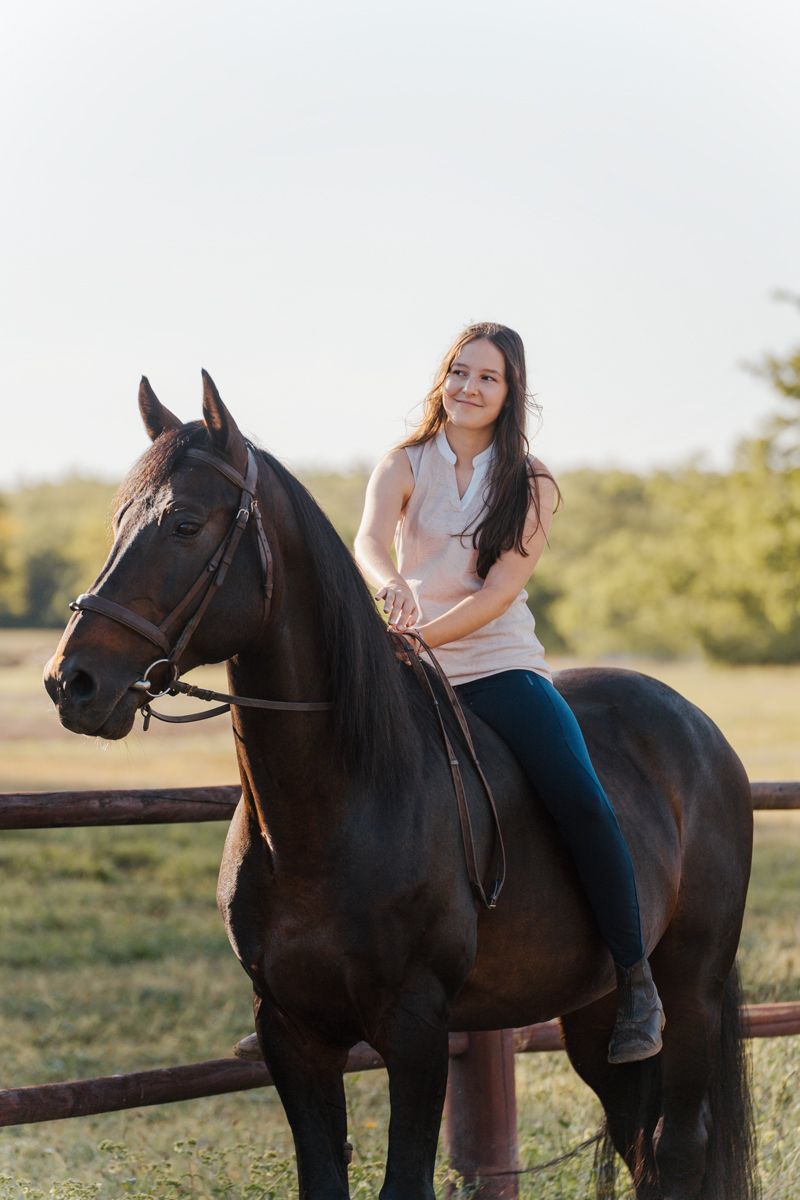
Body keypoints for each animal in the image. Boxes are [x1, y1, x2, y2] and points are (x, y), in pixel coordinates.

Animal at [44, 372, 758, 1200]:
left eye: (185, 524)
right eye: (119, 520)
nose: (72, 682)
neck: (332, 810)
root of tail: (700, 730)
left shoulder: (417, 1029)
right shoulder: (291, 1031)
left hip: (691, 990)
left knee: (677, 1148)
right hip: (593, 1017)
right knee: (641, 1142)